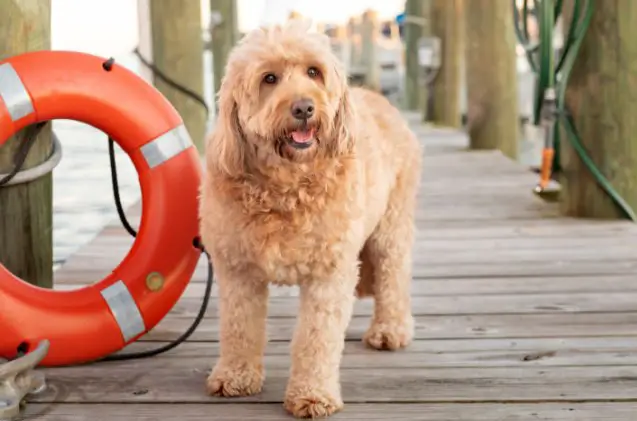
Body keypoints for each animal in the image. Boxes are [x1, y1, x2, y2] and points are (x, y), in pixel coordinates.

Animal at [199, 18, 422, 416]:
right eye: (269, 78)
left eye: (314, 72)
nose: (304, 108)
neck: (286, 186)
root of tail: (381, 99)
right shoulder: (238, 270)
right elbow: (239, 327)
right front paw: (235, 376)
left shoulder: (328, 273)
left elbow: (316, 339)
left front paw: (313, 394)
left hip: (391, 226)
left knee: (393, 276)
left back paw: (390, 330)